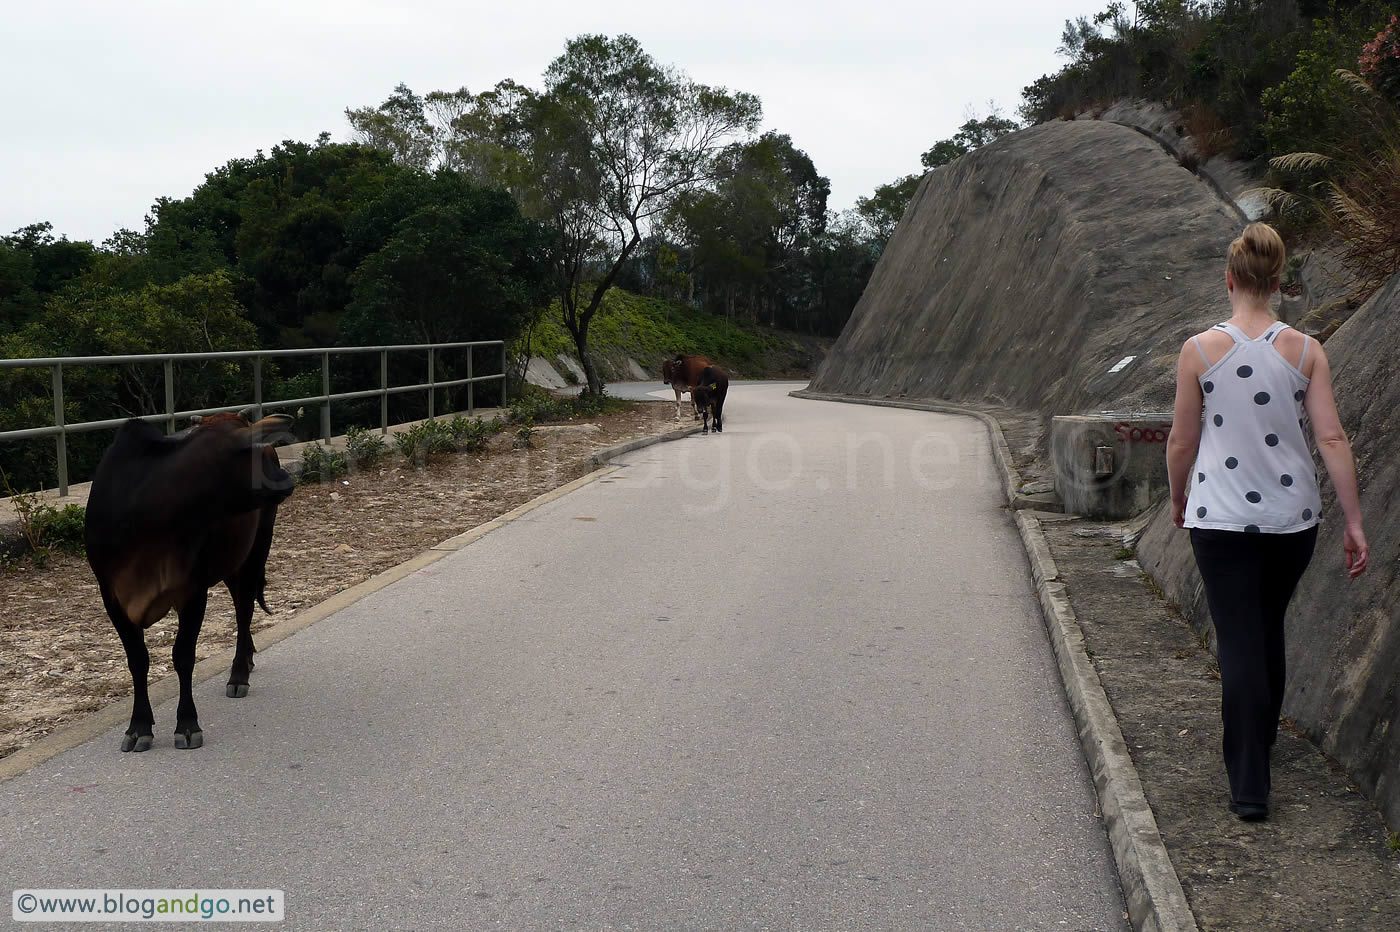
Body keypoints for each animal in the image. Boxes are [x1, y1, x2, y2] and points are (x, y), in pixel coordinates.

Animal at [86, 411, 295, 750]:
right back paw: (247, 659)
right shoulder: (111, 596)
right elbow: (137, 660)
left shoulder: (192, 590)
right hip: (232, 563)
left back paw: (239, 673)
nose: (288, 479)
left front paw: (186, 724)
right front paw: (138, 726)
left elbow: (183, 656)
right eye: (255, 456)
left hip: (257, 548)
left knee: (244, 610)